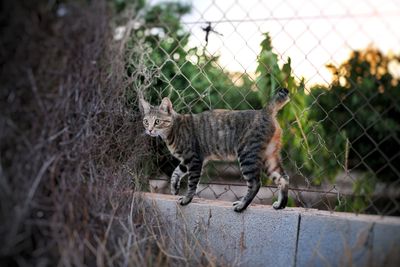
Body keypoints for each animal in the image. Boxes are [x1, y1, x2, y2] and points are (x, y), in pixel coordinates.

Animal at [139, 89, 290, 213]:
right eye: (146, 121)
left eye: (157, 121)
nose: (149, 130)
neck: (173, 130)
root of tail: (264, 111)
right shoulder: (187, 160)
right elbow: (176, 172)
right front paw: (174, 187)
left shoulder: (194, 159)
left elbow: (192, 183)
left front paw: (187, 199)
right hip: (269, 157)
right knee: (283, 177)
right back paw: (280, 204)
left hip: (247, 156)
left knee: (255, 183)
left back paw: (242, 205)